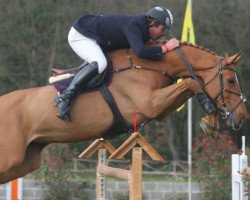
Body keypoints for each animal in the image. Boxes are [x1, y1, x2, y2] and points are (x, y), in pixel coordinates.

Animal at [0, 42, 247, 184]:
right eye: (230, 80)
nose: (242, 118)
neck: (148, 65)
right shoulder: (151, 104)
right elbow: (191, 83)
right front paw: (210, 120)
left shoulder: (158, 110)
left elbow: (190, 84)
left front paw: (210, 120)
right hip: (10, 160)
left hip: (25, 162)